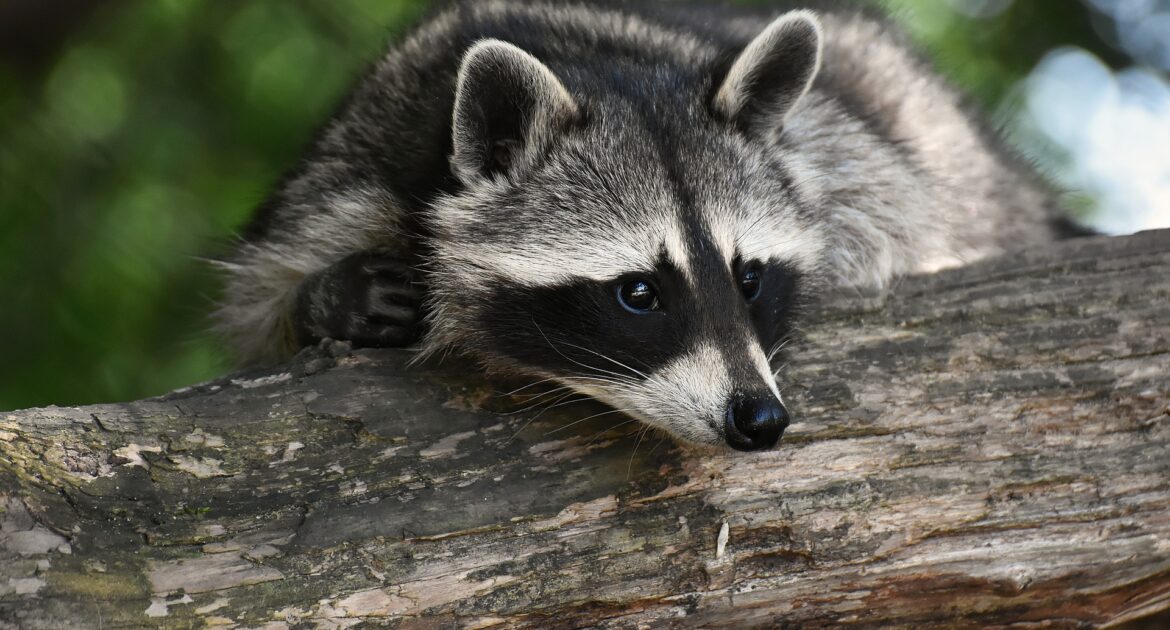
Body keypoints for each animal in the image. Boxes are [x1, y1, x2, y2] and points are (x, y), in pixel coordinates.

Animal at [215, 1, 1067, 452]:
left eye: (749, 278)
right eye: (638, 293)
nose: (760, 420)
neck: (597, 64)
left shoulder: (851, 157)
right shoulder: (353, 165)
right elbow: (260, 301)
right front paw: (329, 298)